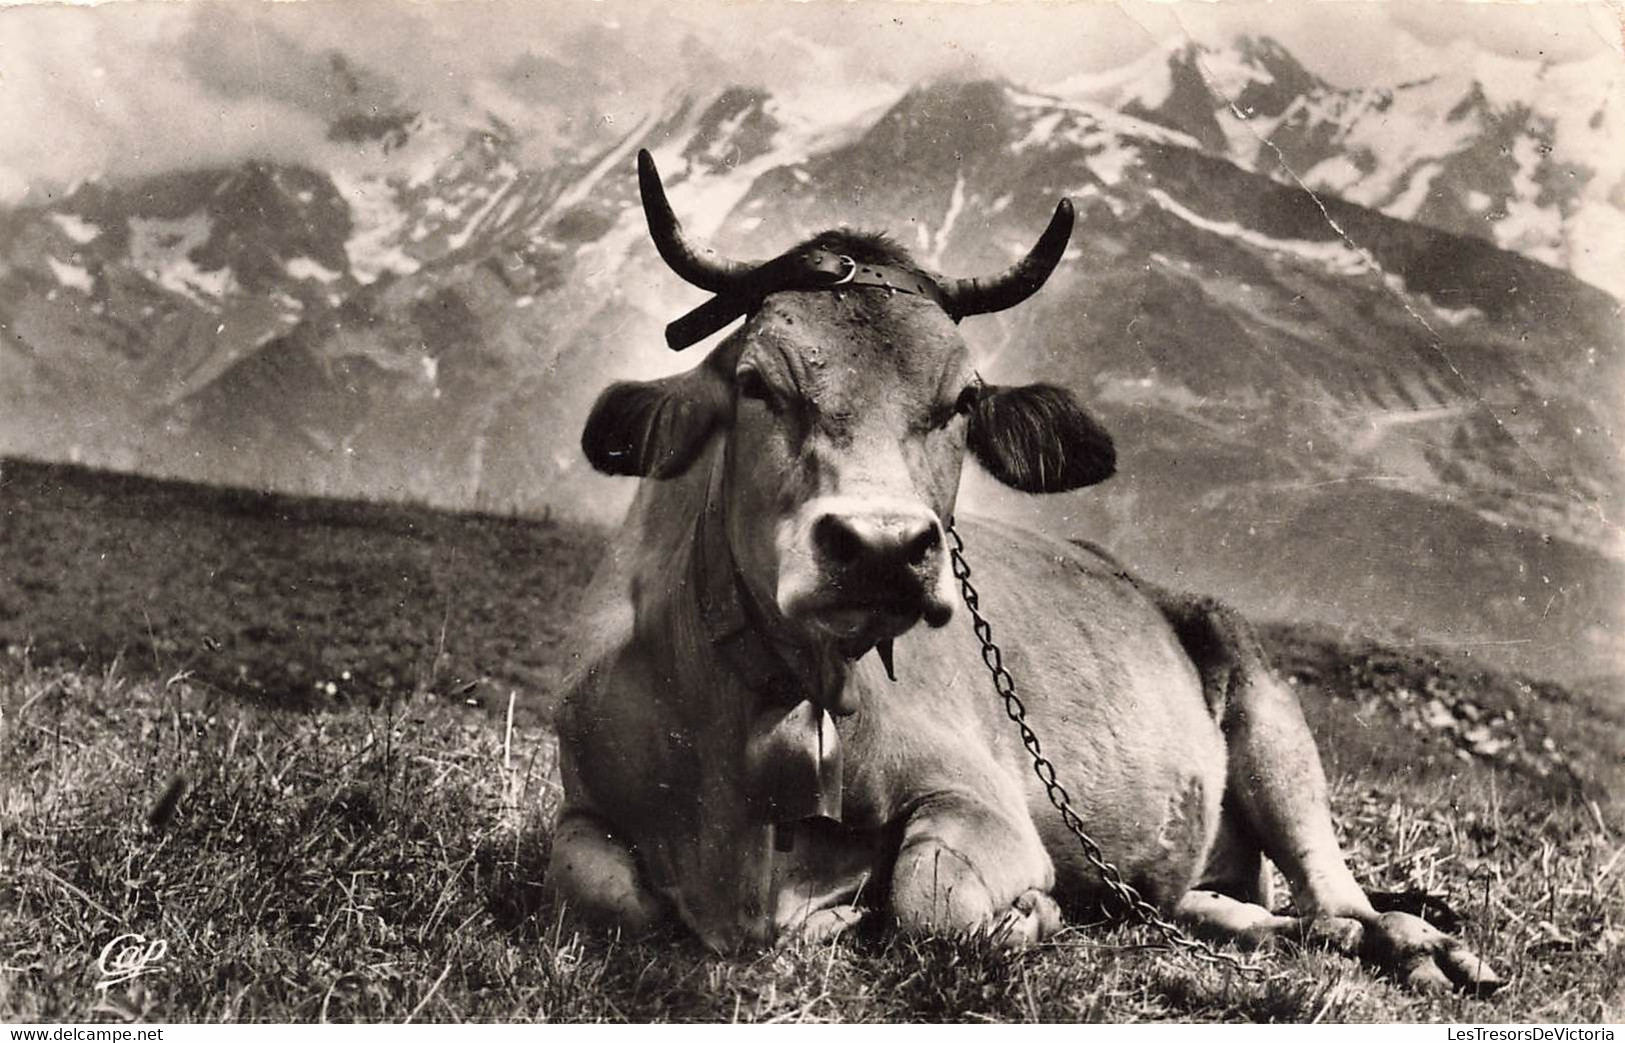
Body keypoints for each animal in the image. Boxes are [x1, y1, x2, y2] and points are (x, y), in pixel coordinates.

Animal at [552, 147, 1501, 987]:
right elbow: (596, 884)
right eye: (755, 383)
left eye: (961, 400)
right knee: (1232, 908)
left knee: (1338, 892)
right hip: (1190, 870)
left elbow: (927, 895)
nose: (882, 547)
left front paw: (1023, 915)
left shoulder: (981, 798)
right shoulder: (582, 805)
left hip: (1270, 716)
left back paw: (1421, 947)